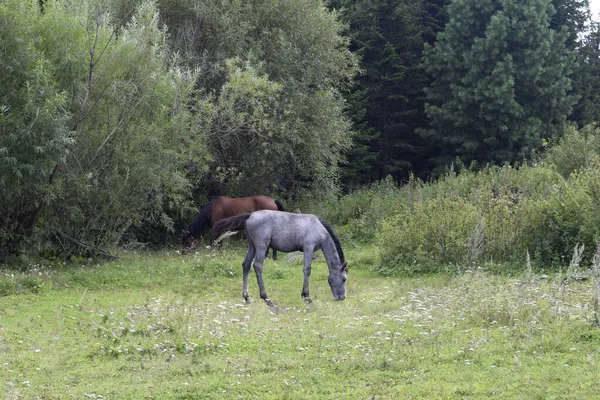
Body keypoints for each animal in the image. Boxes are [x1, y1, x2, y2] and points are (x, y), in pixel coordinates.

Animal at [214, 211, 346, 304]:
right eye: (344, 279)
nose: (342, 297)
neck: (319, 228)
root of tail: (250, 215)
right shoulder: (308, 248)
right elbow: (307, 270)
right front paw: (306, 296)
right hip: (261, 247)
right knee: (257, 266)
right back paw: (265, 297)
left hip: (252, 246)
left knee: (246, 265)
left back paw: (247, 297)